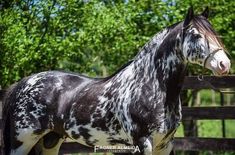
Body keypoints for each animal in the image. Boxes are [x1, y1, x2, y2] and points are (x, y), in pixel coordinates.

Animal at [0, 7, 230, 155]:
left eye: (214, 33)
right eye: (196, 35)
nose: (224, 64)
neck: (150, 86)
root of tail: (23, 84)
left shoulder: (165, 145)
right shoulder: (142, 143)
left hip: (50, 141)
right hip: (22, 142)